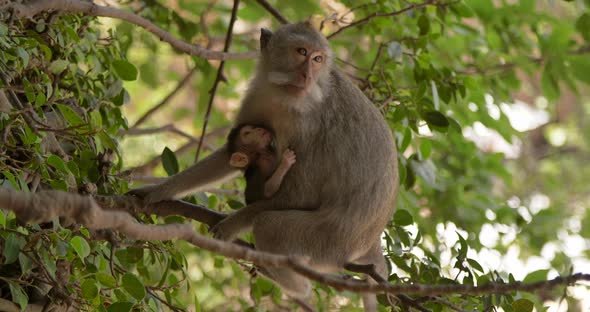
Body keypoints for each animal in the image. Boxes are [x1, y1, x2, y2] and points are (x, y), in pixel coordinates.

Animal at [132, 23, 400, 310]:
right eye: (301, 52)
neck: (283, 96)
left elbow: (300, 195)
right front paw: (157, 191)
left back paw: (296, 285)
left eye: (318, 59)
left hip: (329, 242)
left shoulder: (311, 128)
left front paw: (233, 224)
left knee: (268, 225)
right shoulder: (257, 98)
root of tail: (370, 243)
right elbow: (231, 153)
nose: (307, 76)